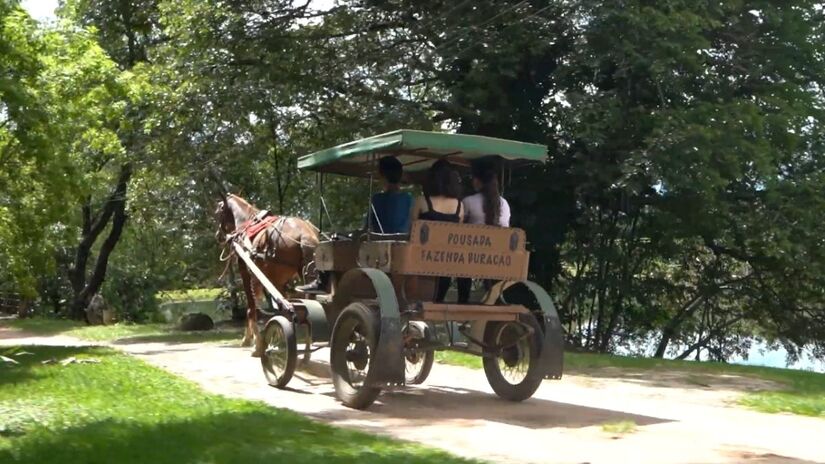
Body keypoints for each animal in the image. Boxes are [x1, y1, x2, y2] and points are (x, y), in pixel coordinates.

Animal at [216, 193, 318, 356]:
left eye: (218, 211)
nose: (218, 235)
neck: (247, 222)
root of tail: (305, 235)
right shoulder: (272, 279)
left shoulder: (247, 272)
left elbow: (251, 307)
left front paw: (256, 344)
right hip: (297, 274)